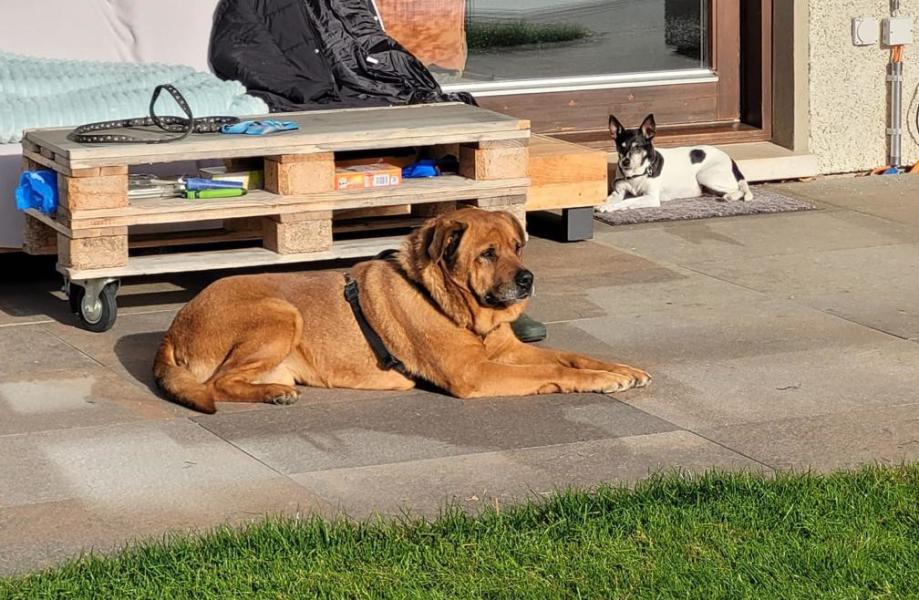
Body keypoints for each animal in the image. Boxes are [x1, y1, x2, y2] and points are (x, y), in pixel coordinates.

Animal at [154, 208, 651, 413]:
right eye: (487, 254)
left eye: (517, 247)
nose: (527, 279)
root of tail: (172, 330)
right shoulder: (476, 373)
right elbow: (557, 370)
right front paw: (598, 381)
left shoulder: (506, 351)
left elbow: (573, 355)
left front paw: (620, 368)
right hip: (280, 314)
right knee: (218, 383)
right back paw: (273, 394)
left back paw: (275, 391)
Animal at [597, 114, 753, 212]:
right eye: (621, 147)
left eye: (637, 147)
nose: (625, 162)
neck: (635, 174)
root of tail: (731, 160)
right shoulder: (618, 193)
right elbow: (610, 198)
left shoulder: (651, 197)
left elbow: (626, 201)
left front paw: (609, 207)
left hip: (705, 176)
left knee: (739, 189)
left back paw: (730, 196)